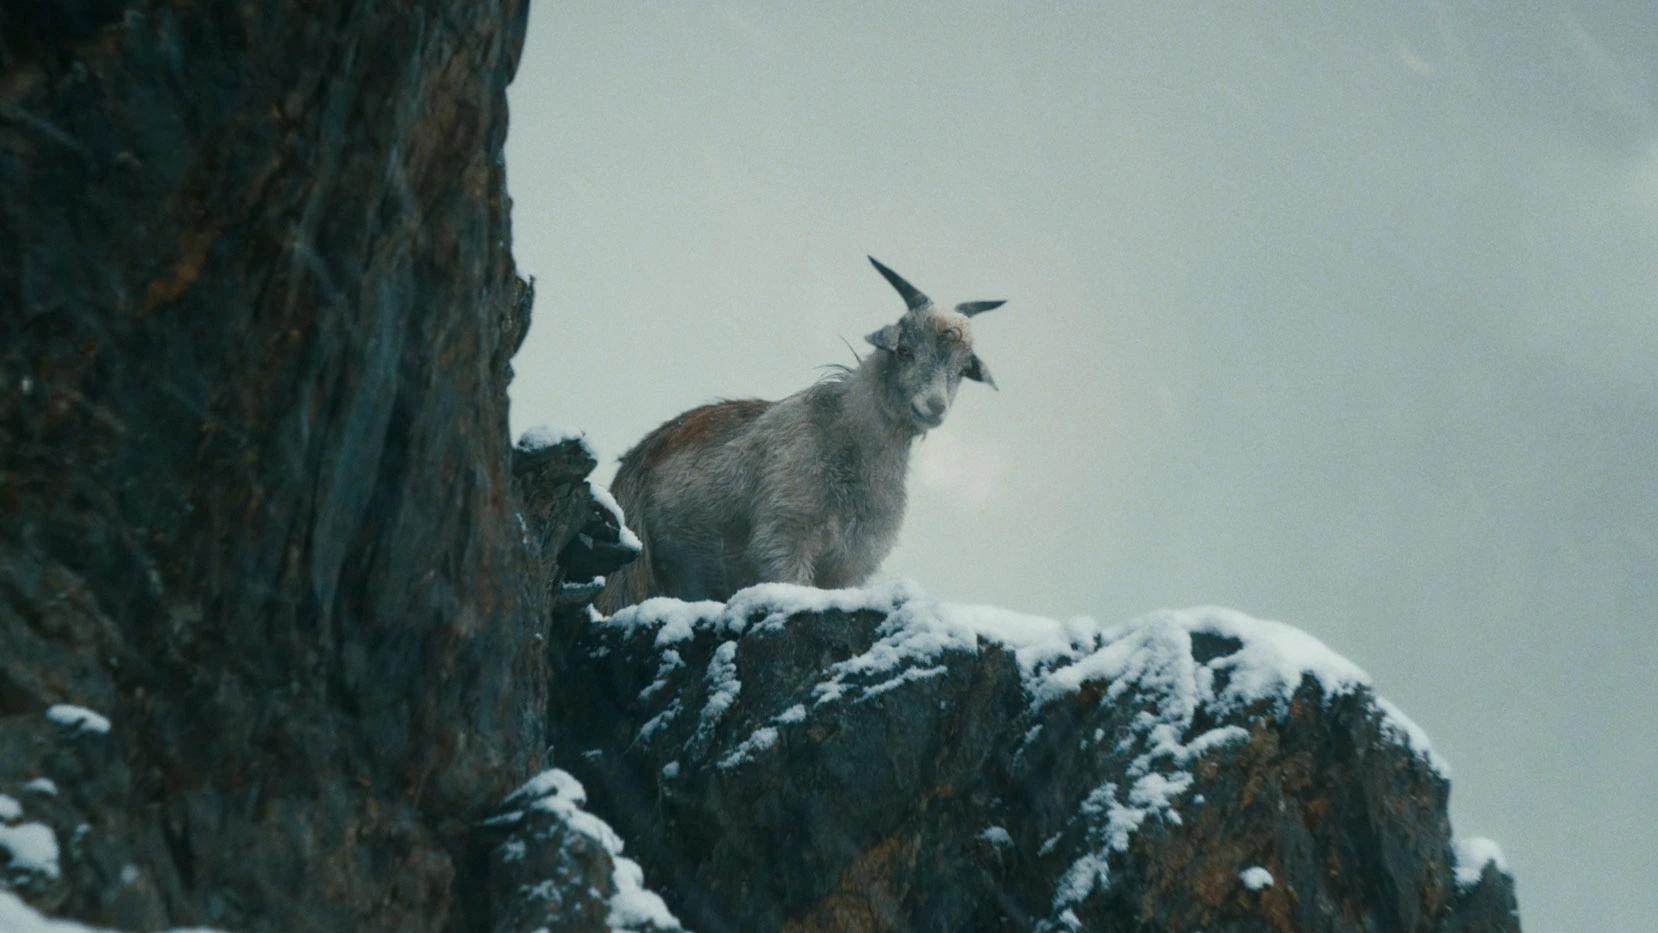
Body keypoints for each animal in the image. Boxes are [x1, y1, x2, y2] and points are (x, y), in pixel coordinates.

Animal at [594, 257, 1005, 613]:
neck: (844, 435)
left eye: (963, 369)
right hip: (634, 569)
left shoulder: (849, 565)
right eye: (904, 349)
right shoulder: (783, 543)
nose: (934, 407)